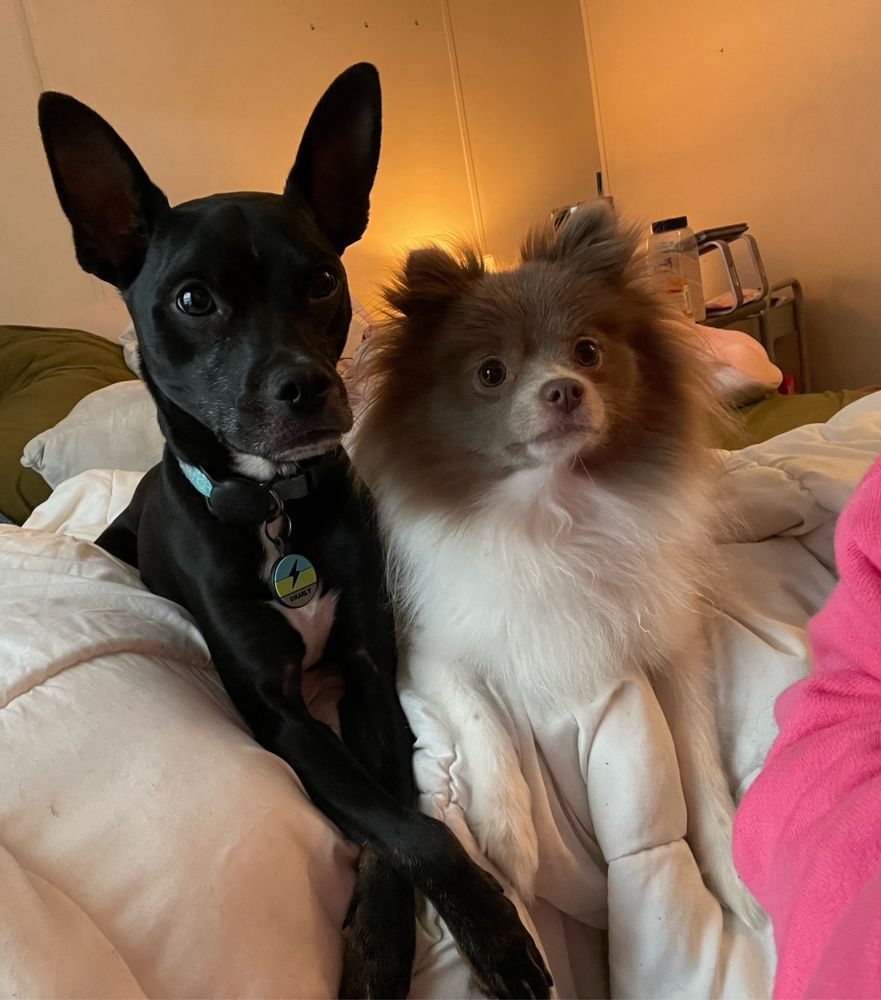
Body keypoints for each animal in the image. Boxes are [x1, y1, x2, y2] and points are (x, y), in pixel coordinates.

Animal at [38, 64, 552, 999]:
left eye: (320, 280)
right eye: (193, 299)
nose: (309, 388)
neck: (276, 509)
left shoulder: (368, 675)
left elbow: (398, 818)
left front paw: (384, 943)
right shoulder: (275, 712)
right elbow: (410, 828)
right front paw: (488, 933)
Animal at [350, 203, 761, 927]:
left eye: (587, 352)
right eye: (490, 373)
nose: (564, 390)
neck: (552, 509)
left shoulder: (673, 644)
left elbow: (699, 757)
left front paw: (729, 871)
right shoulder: (430, 653)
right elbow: (483, 722)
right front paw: (507, 839)